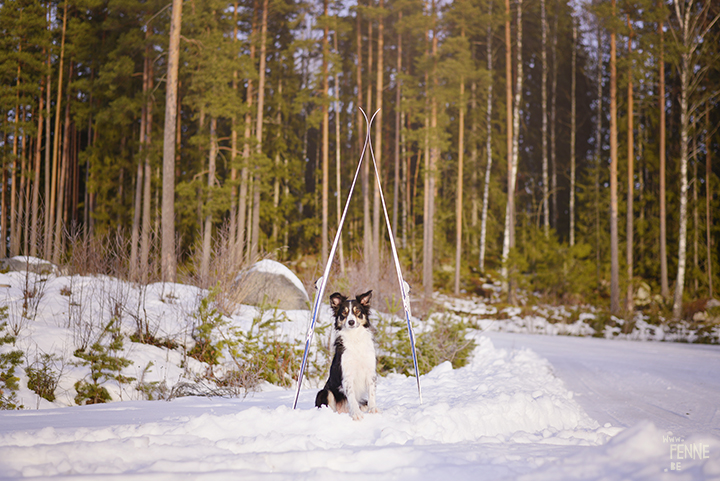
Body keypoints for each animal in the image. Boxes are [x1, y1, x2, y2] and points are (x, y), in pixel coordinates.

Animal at [316, 288, 380, 420]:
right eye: (344, 313)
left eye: (358, 311)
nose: (351, 322)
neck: (354, 338)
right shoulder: (347, 376)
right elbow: (351, 396)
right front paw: (356, 414)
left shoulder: (370, 372)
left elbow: (371, 393)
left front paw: (373, 409)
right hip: (324, 392)